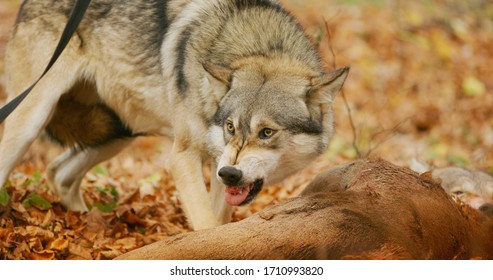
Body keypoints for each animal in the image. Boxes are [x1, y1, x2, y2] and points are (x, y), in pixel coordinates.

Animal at [0, 0, 348, 230]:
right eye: (231, 127)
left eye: (267, 132)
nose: (230, 174)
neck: (258, 44)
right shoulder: (183, 158)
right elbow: (207, 227)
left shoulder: (219, 167)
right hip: (31, 119)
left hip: (118, 131)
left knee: (58, 172)